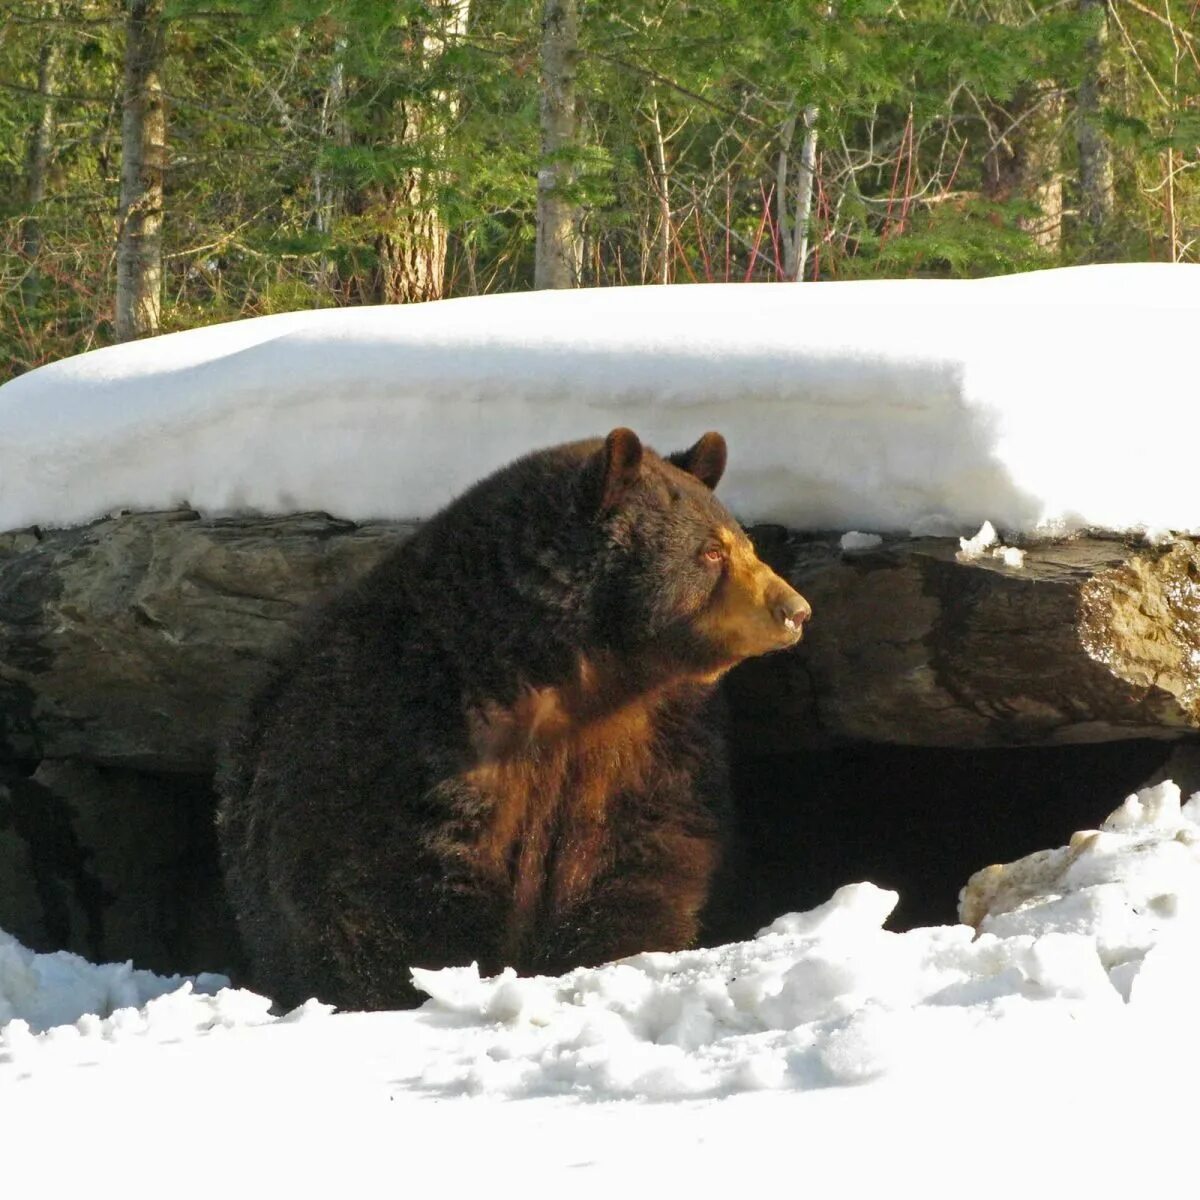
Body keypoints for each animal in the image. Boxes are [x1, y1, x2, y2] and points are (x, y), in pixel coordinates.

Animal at [218, 432, 816, 1012]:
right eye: (711, 551)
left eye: (745, 543)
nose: (795, 610)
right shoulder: (410, 727)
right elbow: (379, 880)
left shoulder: (655, 739)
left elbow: (647, 850)